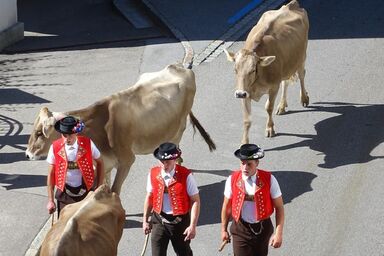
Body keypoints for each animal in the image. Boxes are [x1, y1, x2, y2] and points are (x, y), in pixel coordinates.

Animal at [225, 0, 308, 142]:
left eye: (253, 70)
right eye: (235, 69)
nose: (239, 94)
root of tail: (291, 5)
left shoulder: (273, 87)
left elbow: (268, 107)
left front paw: (270, 129)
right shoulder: (245, 91)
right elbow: (247, 119)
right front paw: (244, 142)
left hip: (301, 58)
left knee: (302, 75)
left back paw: (304, 98)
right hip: (286, 65)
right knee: (285, 82)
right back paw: (282, 106)